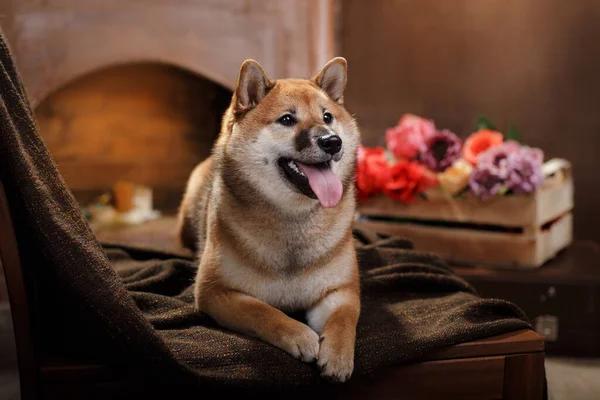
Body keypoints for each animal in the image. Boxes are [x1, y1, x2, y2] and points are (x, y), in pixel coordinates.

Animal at [178, 57, 360, 382]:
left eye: (327, 117)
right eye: (287, 119)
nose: (332, 142)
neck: (292, 220)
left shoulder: (341, 290)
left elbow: (343, 319)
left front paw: (338, 356)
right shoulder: (215, 291)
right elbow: (264, 312)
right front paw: (299, 335)